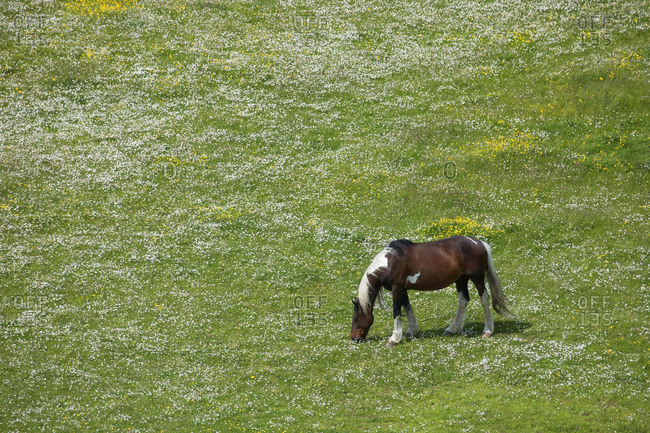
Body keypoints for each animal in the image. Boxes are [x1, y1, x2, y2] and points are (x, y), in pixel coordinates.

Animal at [350, 236, 511, 346]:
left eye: (356, 318)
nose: (354, 338)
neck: (389, 263)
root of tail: (480, 243)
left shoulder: (396, 289)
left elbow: (397, 311)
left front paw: (394, 338)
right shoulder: (403, 289)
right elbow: (407, 307)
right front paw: (411, 331)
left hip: (476, 278)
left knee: (484, 299)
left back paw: (487, 330)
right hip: (461, 280)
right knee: (463, 300)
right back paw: (452, 329)